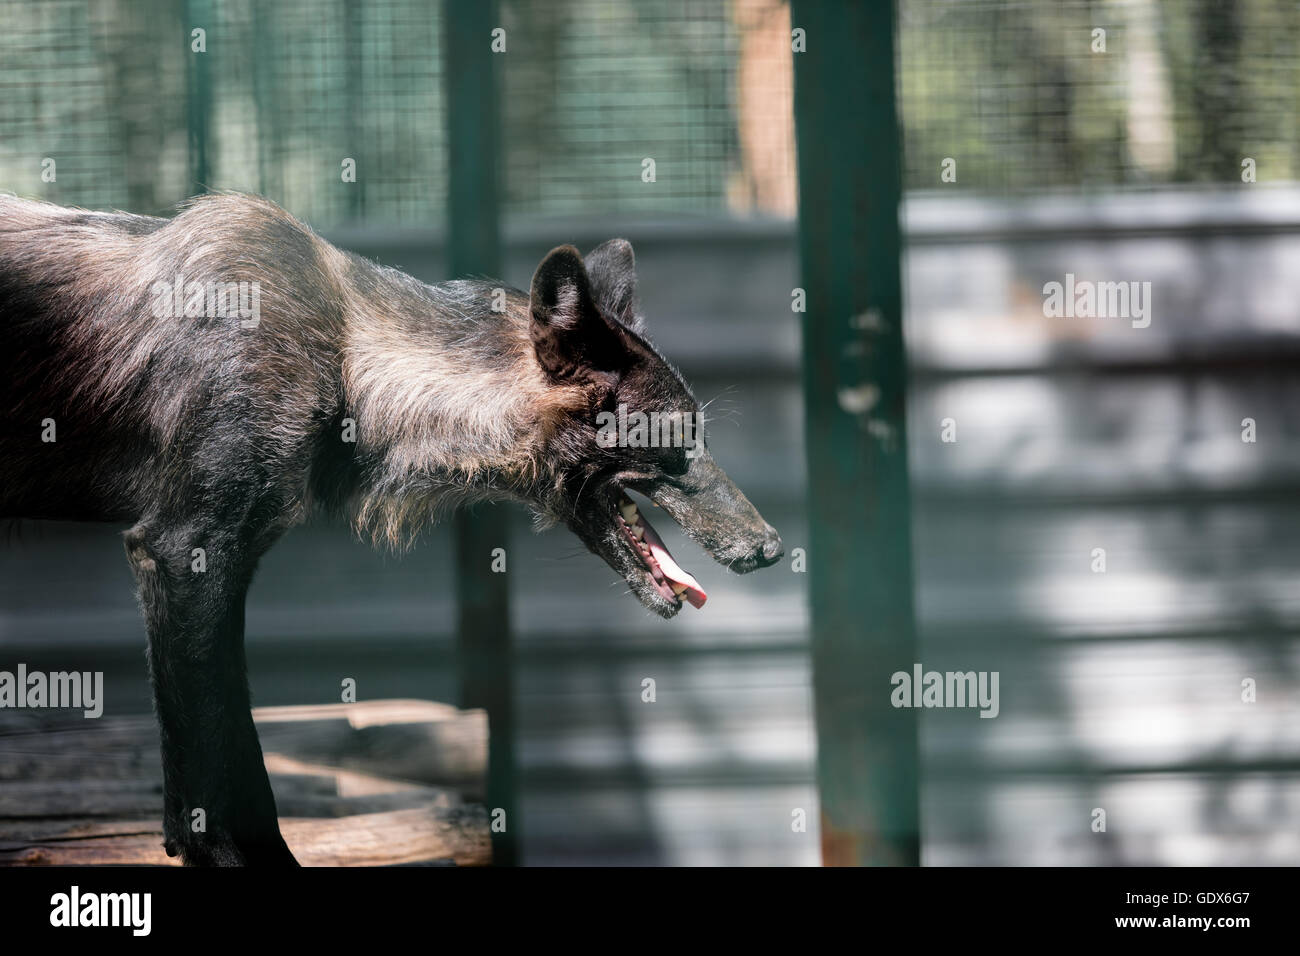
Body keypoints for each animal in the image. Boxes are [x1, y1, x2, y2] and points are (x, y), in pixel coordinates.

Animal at [0, 193, 782, 865]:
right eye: (678, 443)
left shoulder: (226, 564)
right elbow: (214, 781)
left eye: (699, 435)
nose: (772, 548)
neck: (350, 361)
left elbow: (237, 763)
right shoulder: (182, 551)